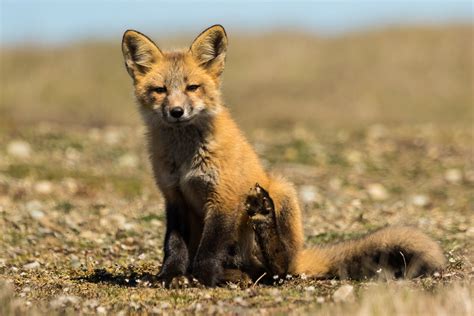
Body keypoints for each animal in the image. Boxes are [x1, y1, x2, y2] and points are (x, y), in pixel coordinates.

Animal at [120, 24, 446, 286]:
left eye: (192, 87)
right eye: (160, 90)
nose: (176, 111)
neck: (186, 158)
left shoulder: (223, 196)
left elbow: (210, 247)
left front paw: (201, 278)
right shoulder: (174, 196)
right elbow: (173, 245)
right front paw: (170, 276)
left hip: (280, 190)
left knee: (279, 268)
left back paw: (262, 232)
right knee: (256, 270)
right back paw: (233, 274)